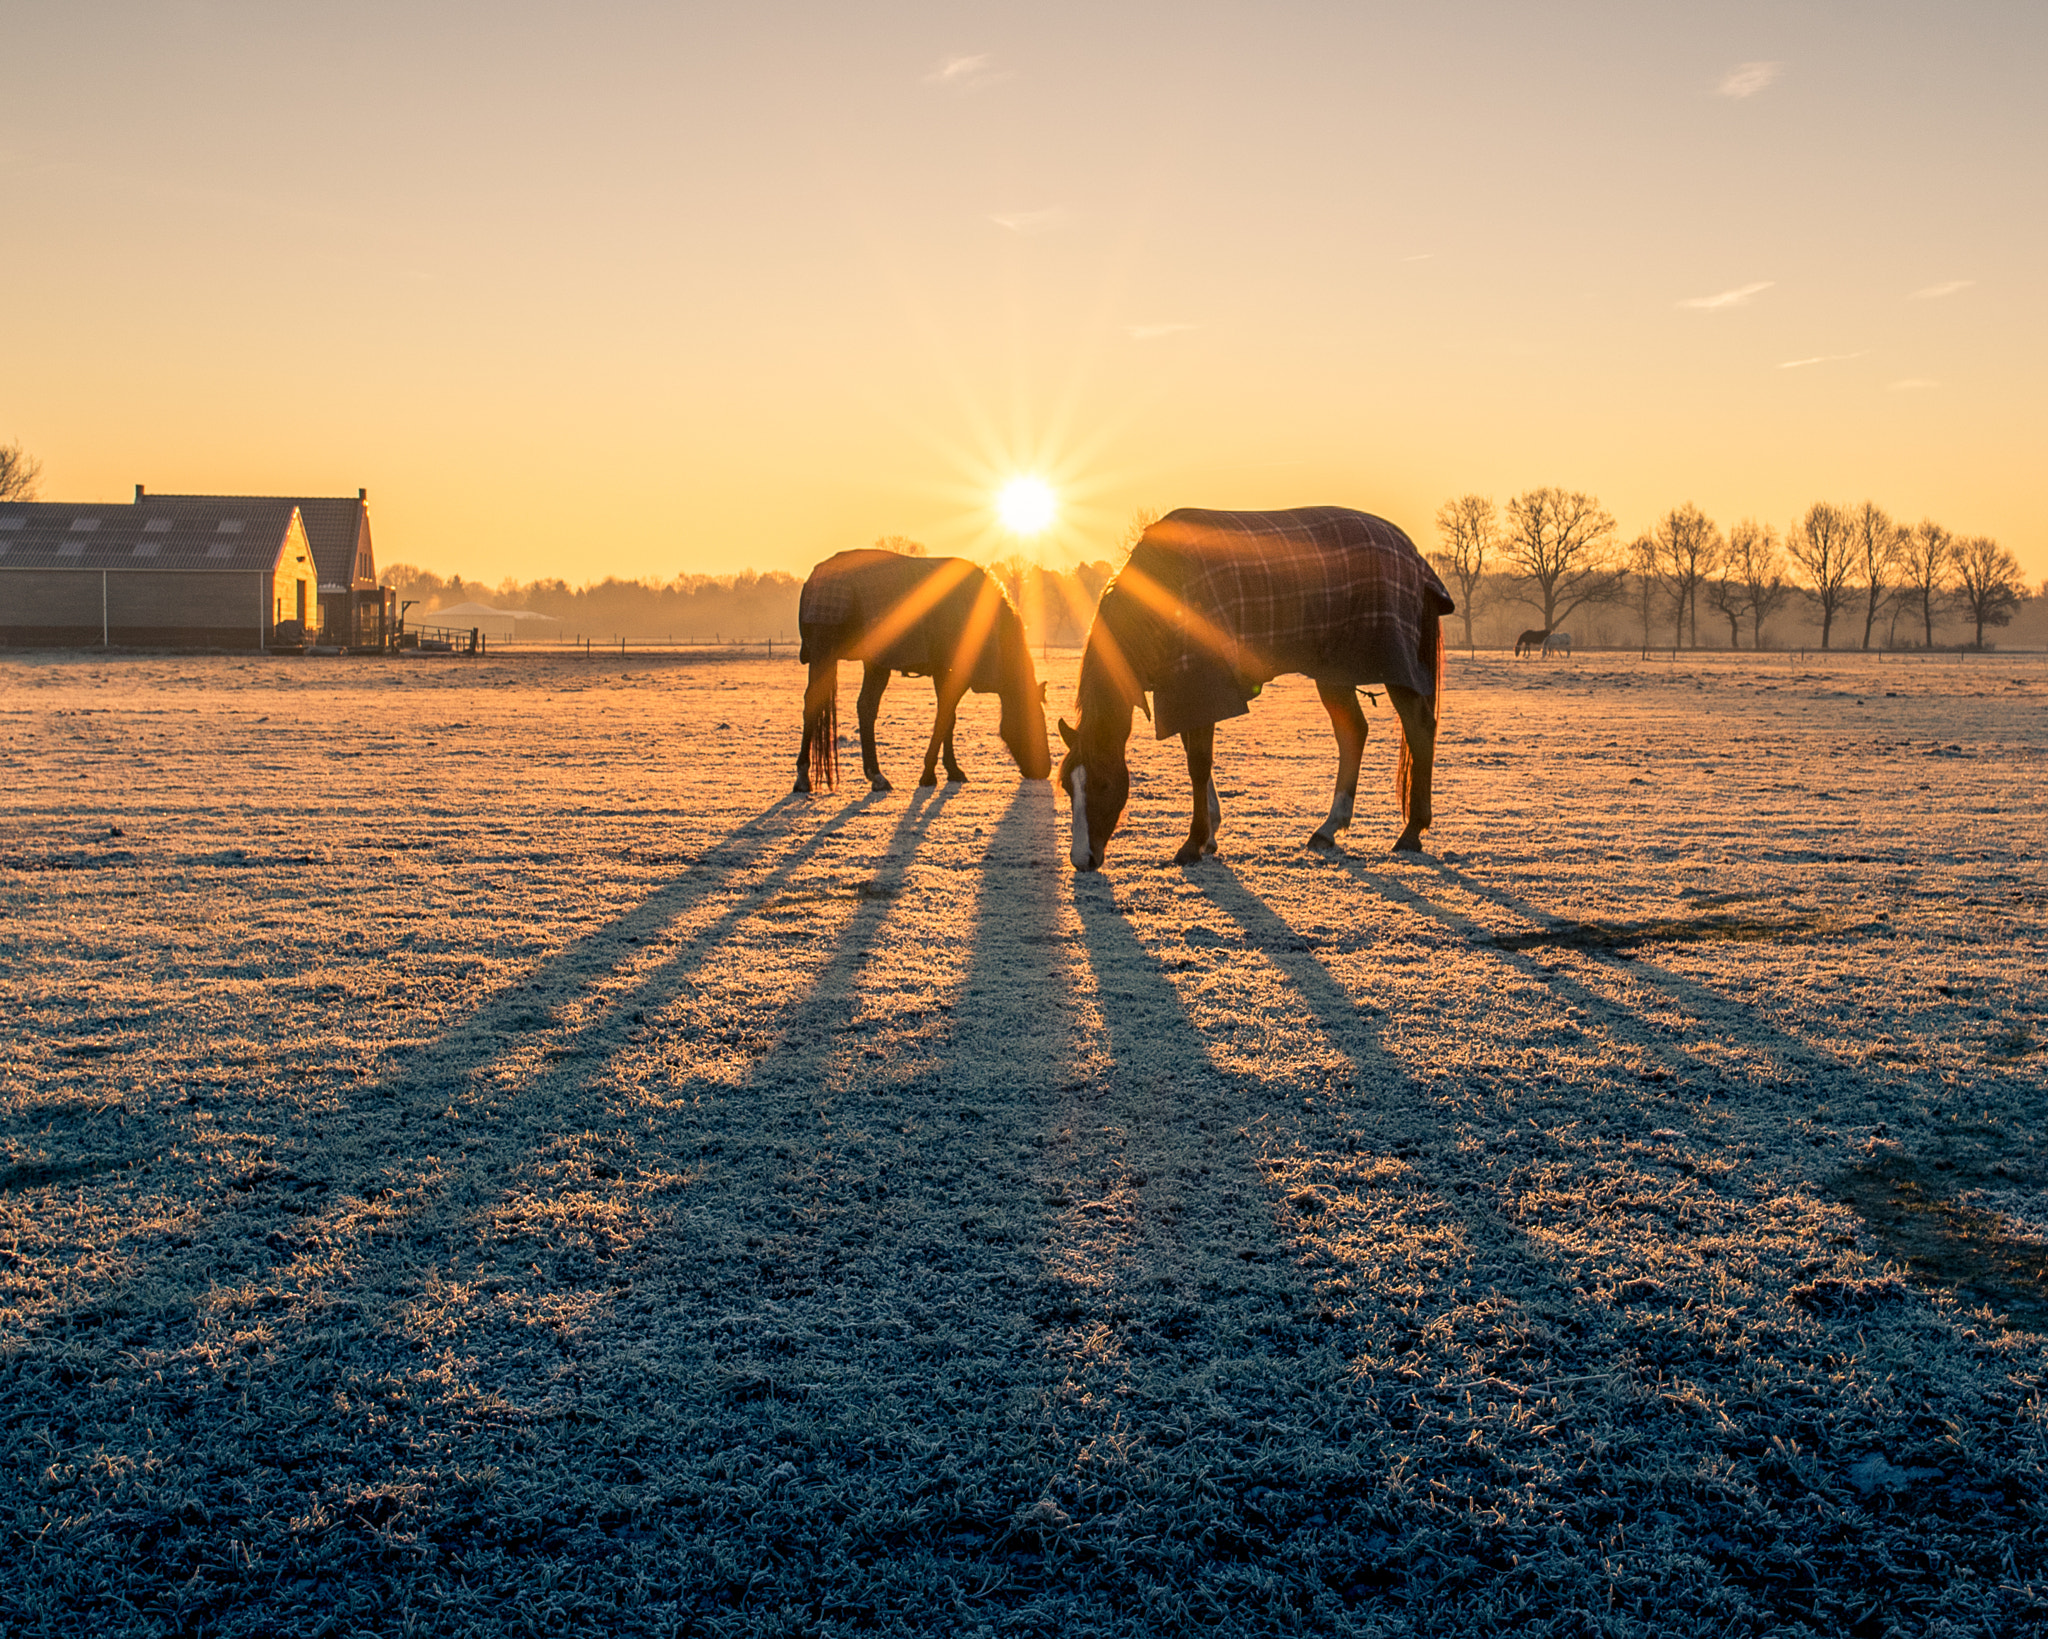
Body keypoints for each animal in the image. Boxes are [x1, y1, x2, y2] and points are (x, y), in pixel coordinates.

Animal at [794, 553, 1056, 799]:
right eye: (1034, 719)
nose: (1044, 769)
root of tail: (816, 578)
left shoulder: (943, 674)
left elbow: (949, 718)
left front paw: (952, 770)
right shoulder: (952, 673)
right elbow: (944, 717)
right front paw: (929, 774)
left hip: (852, 661)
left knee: (843, 706)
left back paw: (844, 777)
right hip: (841, 657)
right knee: (838, 705)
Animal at [1056, 508, 1458, 868]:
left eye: (1103, 784)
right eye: (1066, 786)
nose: (1082, 860)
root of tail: (1414, 556)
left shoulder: (1201, 683)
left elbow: (1198, 763)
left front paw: (1193, 842)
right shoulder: (1186, 691)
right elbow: (1195, 757)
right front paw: (1210, 834)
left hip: (1393, 665)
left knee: (1419, 730)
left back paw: (1411, 832)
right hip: (1334, 670)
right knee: (1353, 732)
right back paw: (1329, 828)